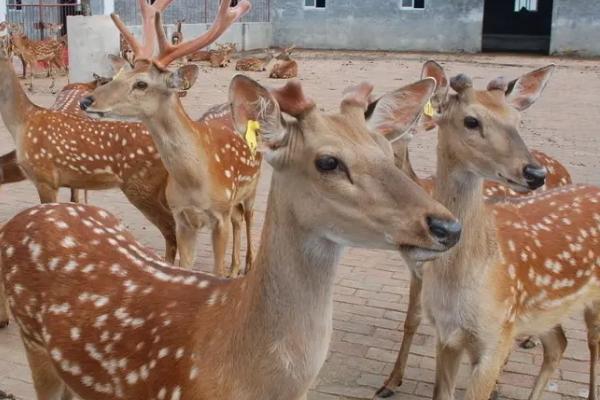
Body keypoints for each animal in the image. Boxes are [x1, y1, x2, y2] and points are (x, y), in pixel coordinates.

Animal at [81, 0, 262, 276]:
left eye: (141, 84)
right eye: (117, 76)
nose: (86, 101)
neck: (194, 181)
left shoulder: (218, 215)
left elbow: (216, 272)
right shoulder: (182, 216)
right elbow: (186, 266)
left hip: (253, 185)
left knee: (250, 217)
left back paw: (249, 264)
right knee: (238, 219)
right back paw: (235, 268)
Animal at [386, 64, 600, 400]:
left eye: (518, 121)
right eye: (471, 121)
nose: (534, 173)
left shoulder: (494, 338)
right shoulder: (445, 330)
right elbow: (413, 323)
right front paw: (390, 382)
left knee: (593, 343)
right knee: (558, 344)